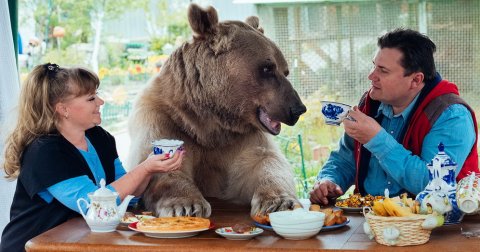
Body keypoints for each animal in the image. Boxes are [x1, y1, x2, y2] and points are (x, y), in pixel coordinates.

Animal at [127, 2, 306, 218]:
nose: (297, 109)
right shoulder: (164, 118)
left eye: (285, 70)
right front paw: (186, 205)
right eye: (267, 68)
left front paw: (279, 202)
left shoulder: (241, 138)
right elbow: (160, 163)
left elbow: (265, 162)